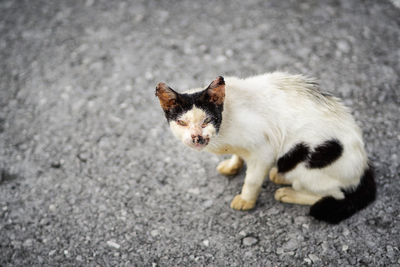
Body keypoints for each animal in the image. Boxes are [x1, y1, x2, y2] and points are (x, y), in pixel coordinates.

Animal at [155, 73, 376, 224]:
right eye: (182, 123)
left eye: (207, 120)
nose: (197, 138)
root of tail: (364, 165)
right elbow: (239, 155)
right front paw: (232, 165)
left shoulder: (264, 150)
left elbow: (252, 180)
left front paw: (246, 200)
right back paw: (279, 175)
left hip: (305, 162)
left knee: (336, 194)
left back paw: (287, 192)